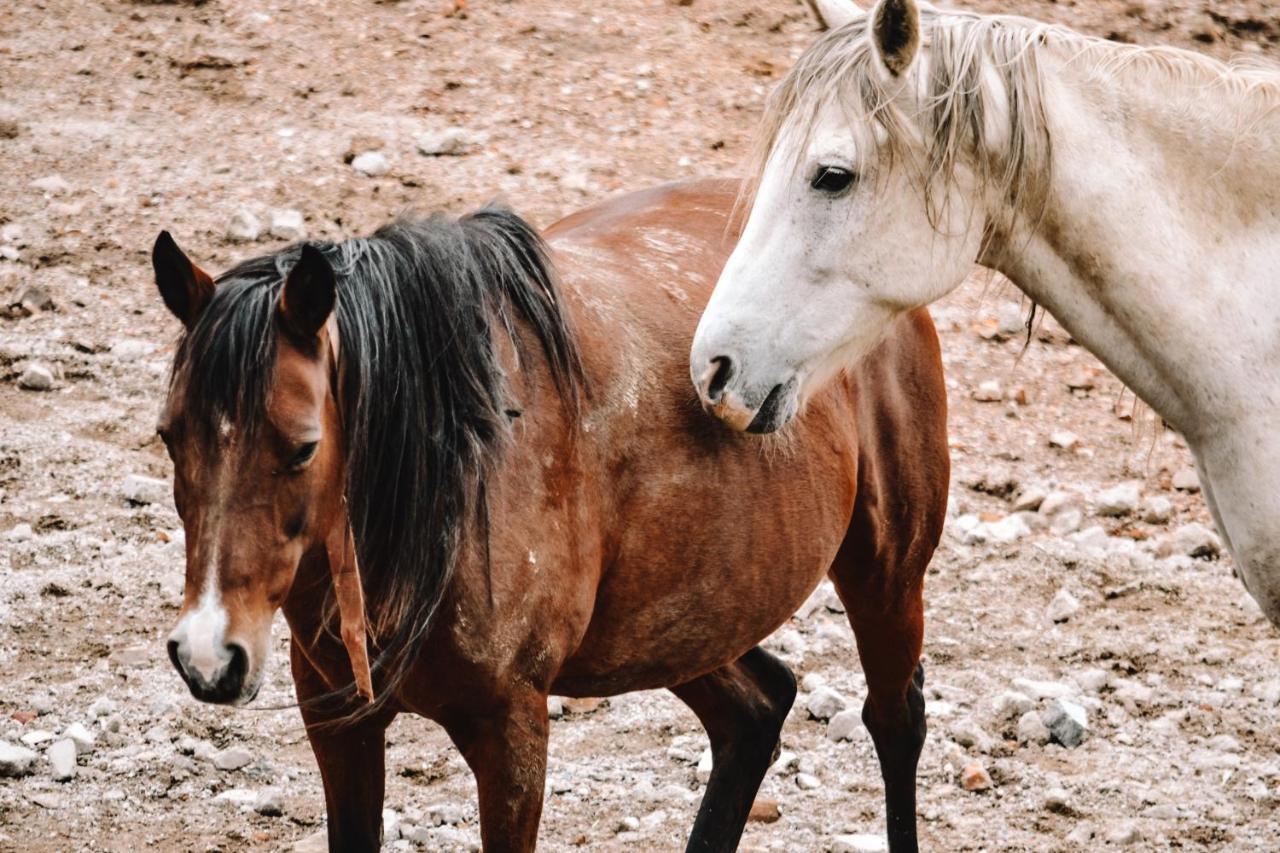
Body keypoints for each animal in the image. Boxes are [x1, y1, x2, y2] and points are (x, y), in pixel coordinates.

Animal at [152, 175, 952, 845]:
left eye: (302, 447)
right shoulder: (335, 717)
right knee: (756, 711)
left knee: (894, 719)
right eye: (169, 435)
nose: (207, 656)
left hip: (884, 576)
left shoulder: (511, 732)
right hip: (674, 624)